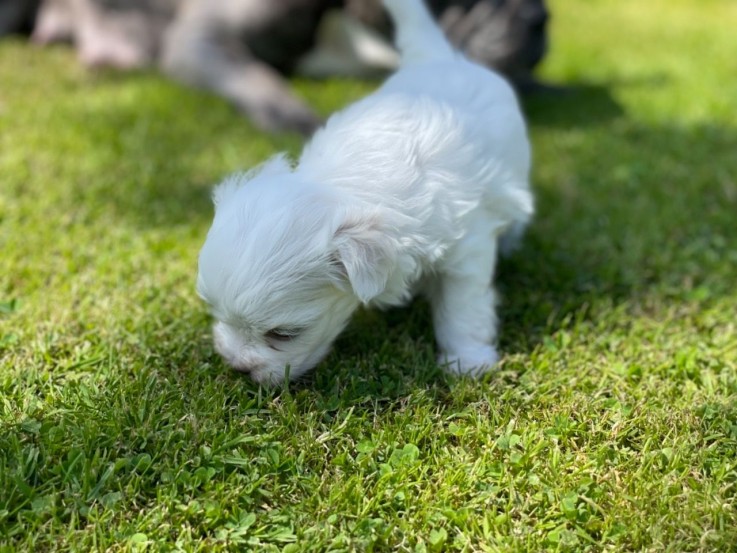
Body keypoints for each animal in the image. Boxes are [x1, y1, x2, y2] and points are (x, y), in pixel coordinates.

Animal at [194, 0, 536, 384]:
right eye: (214, 310)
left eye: (283, 334)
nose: (237, 365)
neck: (338, 183)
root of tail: (439, 56)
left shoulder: (467, 247)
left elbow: (462, 308)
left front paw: (467, 360)